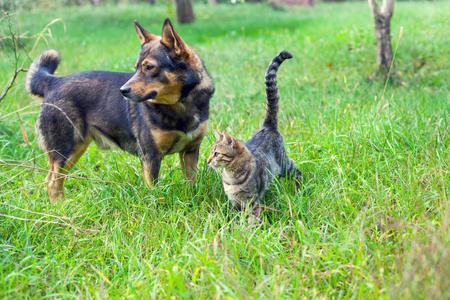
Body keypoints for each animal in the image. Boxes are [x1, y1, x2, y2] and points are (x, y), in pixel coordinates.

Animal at [24, 18, 214, 202]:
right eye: (136, 67)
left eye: (149, 67)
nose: (123, 91)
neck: (180, 105)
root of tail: (53, 81)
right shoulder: (151, 155)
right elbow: (154, 191)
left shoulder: (190, 150)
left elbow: (191, 183)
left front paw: (192, 200)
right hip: (65, 150)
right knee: (52, 182)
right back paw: (60, 208)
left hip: (74, 150)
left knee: (57, 180)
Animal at [208, 51, 302, 218]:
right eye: (210, 153)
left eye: (216, 153)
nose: (207, 161)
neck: (231, 177)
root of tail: (268, 127)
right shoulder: (234, 202)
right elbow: (235, 218)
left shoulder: (251, 201)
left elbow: (251, 219)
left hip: (284, 165)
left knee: (298, 172)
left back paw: (299, 191)